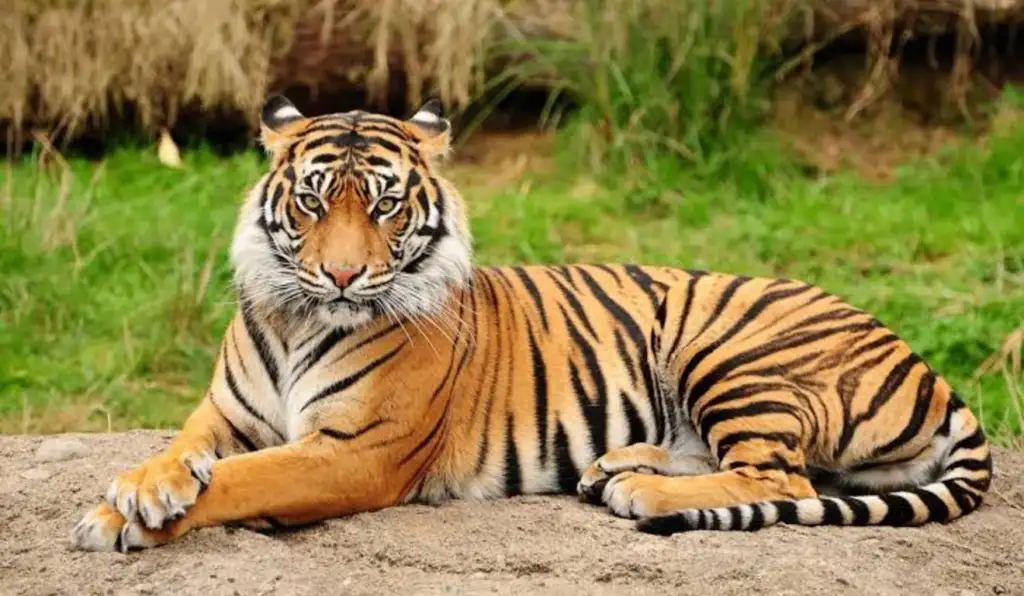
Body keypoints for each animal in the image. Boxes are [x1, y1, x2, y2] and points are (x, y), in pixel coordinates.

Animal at [71, 95, 992, 552]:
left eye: (385, 206)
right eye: (312, 201)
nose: (341, 274)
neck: (300, 319)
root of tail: (927, 365)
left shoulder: (355, 451)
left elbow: (244, 480)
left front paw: (126, 518)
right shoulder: (223, 415)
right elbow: (183, 454)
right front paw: (136, 492)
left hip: (729, 348)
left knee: (784, 479)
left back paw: (641, 489)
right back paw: (617, 466)